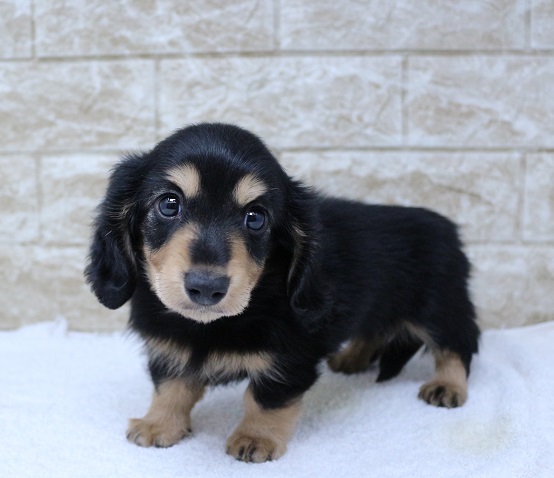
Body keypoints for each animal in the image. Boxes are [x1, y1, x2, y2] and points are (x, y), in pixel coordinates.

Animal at [84, 123, 476, 464]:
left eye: (255, 217)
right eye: (169, 204)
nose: (206, 287)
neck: (210, 325)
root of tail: (447, 228)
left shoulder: (290, 358)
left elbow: (265, 399)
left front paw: (255, 438)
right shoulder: (168, 349)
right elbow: (171, 388)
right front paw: (159, 425)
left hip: (440, 306)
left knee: (458, 344)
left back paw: (446, 385)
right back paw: (352, 359)